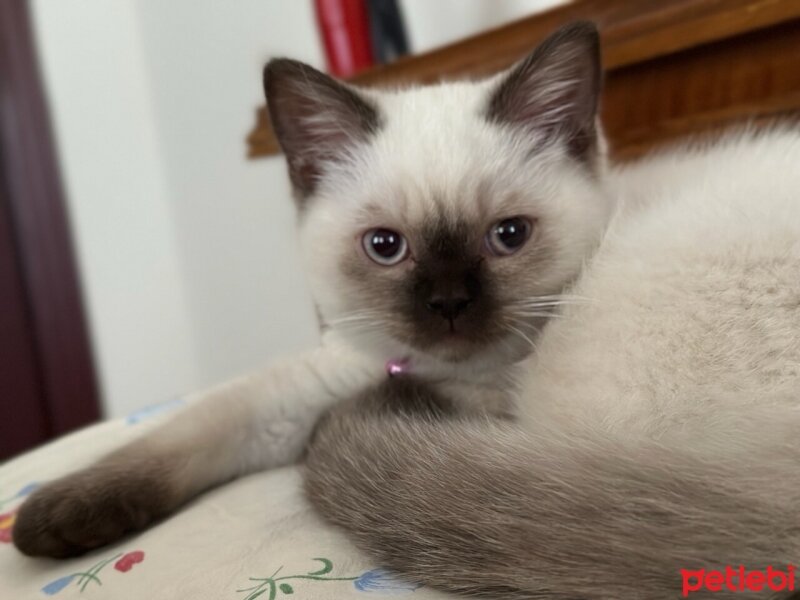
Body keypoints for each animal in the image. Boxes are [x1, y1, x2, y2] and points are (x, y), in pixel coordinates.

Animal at [12, 19, 608, 564]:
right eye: (385, 246)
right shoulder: (302, 393)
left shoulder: (489, 413)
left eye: (509, 235)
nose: (449, 304)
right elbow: (182, 435)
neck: (432, 373)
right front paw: (47, 524)